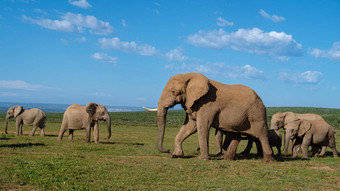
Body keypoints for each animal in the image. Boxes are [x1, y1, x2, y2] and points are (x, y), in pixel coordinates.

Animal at [143, 72, 274, 162]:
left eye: (174, 92)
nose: (168, 150)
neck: (188, 76)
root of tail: (261, 99)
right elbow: (189, 126)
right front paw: (176, 155)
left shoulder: (207, 104)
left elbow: (202, 126)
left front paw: (202, 159)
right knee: (236, 135)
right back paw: (226, 158)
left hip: (256, 114)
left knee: (261, 135)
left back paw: (267, 160)